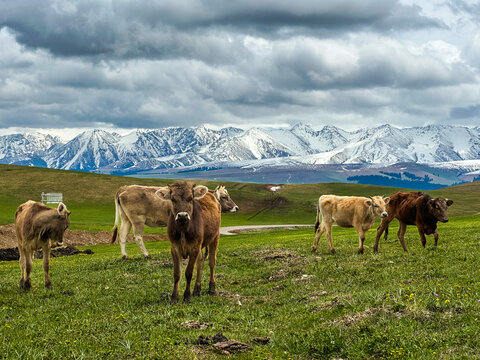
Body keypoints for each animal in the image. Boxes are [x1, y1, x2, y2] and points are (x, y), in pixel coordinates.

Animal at [112, 186, 240, 258]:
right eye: (224, 197)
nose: (237, 207)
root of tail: (124, 189)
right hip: (137, 220)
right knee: (137, 237)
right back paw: (147, 255)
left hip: (126, 219)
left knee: (122, 235)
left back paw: (124, 256)